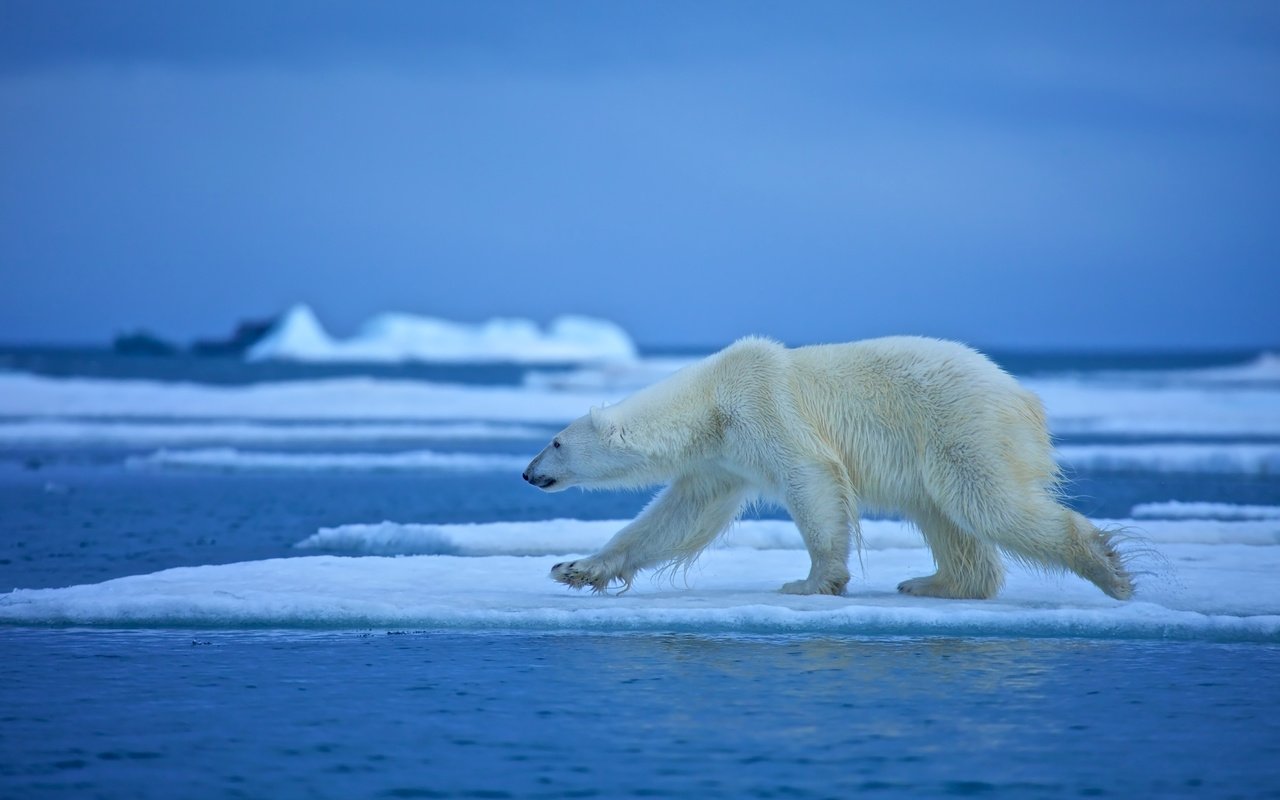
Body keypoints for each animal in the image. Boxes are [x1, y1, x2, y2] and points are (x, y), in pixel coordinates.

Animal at [519, 337, 1131, 599]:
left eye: (555, 441)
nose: (527, 473)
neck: (711, 400)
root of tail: (1024, 396)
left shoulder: (763, 406)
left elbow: (809, 478)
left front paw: (812, 581)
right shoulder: (723, 457)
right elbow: (679, 516)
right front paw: (576, 568)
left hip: (961, 427)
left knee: (987, 503)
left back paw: (1108, 569)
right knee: (944, 516)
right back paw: (932, 582)